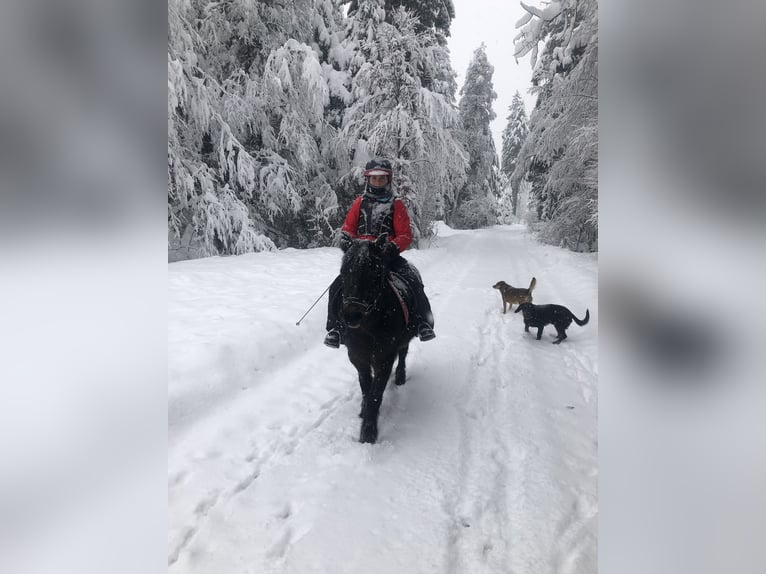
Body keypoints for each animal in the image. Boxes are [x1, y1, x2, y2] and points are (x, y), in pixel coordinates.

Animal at [340, 234, 416, 446]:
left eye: (374, 273)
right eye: (343, 272)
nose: (352, 316)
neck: (367, 327)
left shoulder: (384, 358)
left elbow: (376, 394)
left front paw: (368, 432)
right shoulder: (358, 357)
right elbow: (366, 387)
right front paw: (364, 411)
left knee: (403, 354)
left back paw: (400, 376)